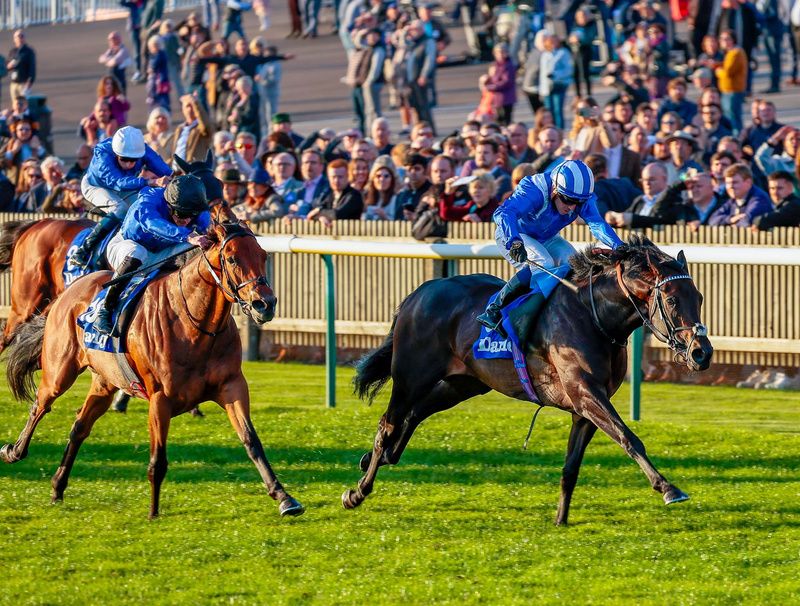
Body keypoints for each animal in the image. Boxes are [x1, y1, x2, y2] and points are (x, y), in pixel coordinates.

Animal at [2, 218, 306, 516]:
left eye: (262, 255)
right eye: (232, 258)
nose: (265, 304)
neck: (195, 324)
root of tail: (69, 291)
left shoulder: (232, 386)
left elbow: (251, 441)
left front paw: (284, 497)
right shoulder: (160, 398)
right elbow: (157, 459)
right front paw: (153, 512)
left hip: (104, 382)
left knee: (79, 427)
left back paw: (57, 487)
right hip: (58, 368)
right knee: (40, 405)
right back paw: (13, 451)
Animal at [342, 238, 712, 528]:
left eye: (699, 297)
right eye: (672, 300)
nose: (702, 352)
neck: (593, 317)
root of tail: (419, 293)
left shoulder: (585, 407)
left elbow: (571, 465)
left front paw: (561, 519)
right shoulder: (586, 393)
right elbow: (629, 437)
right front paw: (669, 488)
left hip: (463, 383)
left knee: (415, 413)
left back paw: (377, 458)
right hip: (411, 376)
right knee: (389, 423)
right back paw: (357, 491)